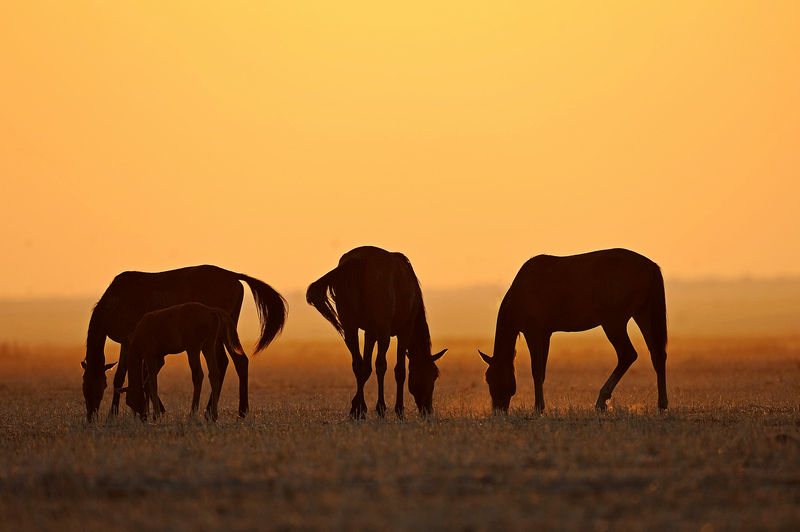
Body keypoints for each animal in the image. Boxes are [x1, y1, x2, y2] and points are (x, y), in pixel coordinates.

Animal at [119, 304, 247, 420]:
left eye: (128, 401)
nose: (141, 416)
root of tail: (210, 310)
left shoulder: (149, 354)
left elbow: (152, 382)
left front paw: (157, 414)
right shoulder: (159, 358)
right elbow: (146, 384)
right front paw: (154, 414)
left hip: (193, 349)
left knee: (198, 375)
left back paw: (193, 414)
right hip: (209, 346)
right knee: (214, 374)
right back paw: (214, 415)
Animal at [306, 246, 446, 420]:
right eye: (433, 376)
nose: (428, 410)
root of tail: (360, 259)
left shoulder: (370, 333)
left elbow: (365, 368)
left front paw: (357, 407)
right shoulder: (404, 330)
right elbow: (399, 371)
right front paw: (399, 410)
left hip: (350, 327)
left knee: (357, 364)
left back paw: (360, 409)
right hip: (383, 331)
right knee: (381, 365)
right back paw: (380, 408)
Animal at [482, 247, 668, 414]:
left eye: (489, 378)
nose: (497, 410)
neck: (520, 290)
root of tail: (648, 265)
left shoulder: (532, 331)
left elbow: (536, 370)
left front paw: (538, 407)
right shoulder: (545, 334)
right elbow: (541, 371)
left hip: (613, 322)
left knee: (627, 355)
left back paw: (601, 400)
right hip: (643, 314)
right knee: (657, 355)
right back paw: (661, 404)